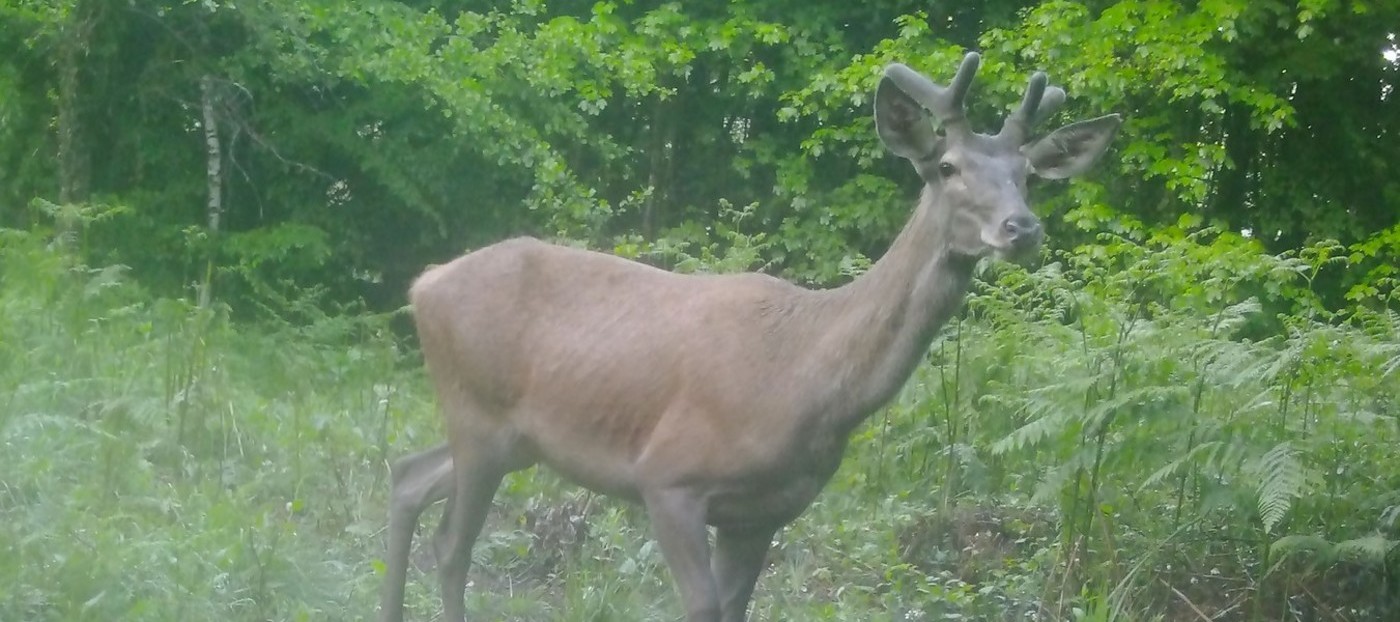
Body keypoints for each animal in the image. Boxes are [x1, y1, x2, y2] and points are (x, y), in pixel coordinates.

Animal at [378, 53, 1120, 622]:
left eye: (1027, 176)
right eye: (948, 167)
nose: (1021, 228)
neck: (810, 380)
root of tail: (424, 284)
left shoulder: (761, 514)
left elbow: (738, 607)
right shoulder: (668, 476)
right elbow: (702, 607)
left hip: (510, 438)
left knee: (408, 475)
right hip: (479, 416)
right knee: (451, 545)